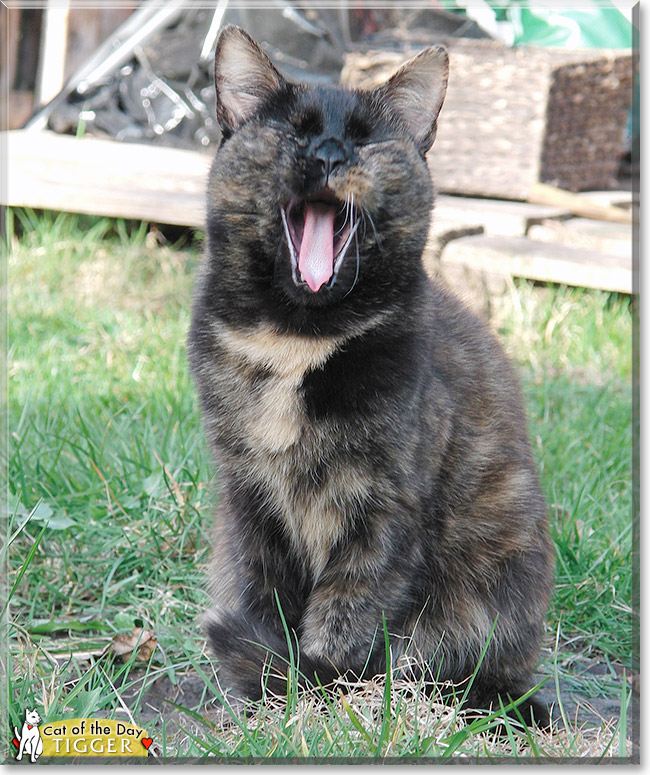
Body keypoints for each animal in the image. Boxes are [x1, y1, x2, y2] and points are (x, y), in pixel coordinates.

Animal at [187, 27, 552, 724]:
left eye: (362, 139)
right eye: (296, 131)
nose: (329, 154)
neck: (295, 342)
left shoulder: (382, 506)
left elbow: (343, 618)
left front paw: (317, 698)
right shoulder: (250, 498)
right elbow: (263, 602)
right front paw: (267, 697)